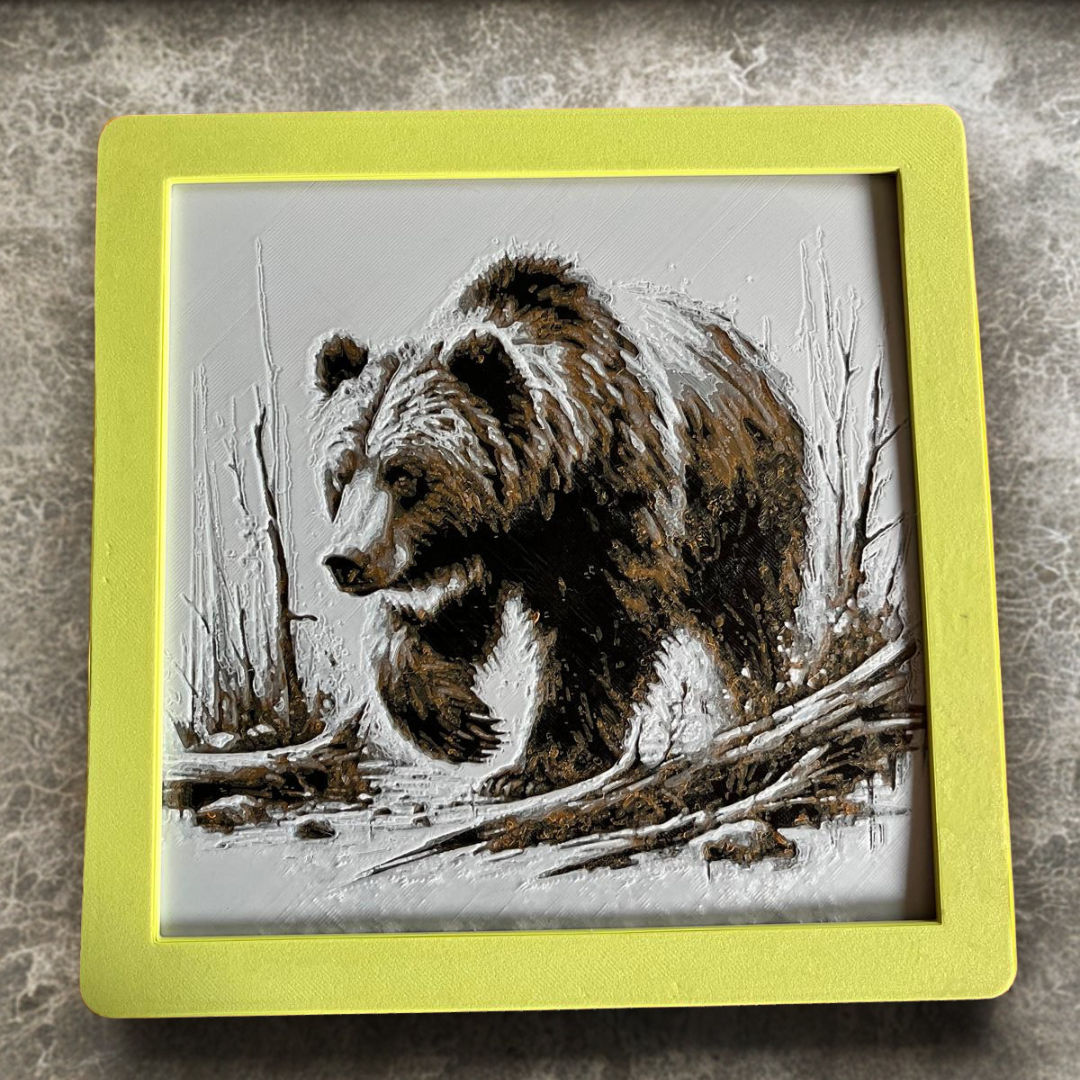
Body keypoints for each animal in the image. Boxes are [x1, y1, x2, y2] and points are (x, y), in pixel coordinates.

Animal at [313, 252, 807, 798]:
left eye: (404, 473)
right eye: (340, 474)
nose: (346, 560)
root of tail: (750, 354)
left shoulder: (613, 508)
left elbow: (599, 630)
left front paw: (534, 766)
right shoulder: (473, 548)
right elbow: (441, 618)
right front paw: (461, 725)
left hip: (742, 497)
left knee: (752, 612)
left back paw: (764, 694)